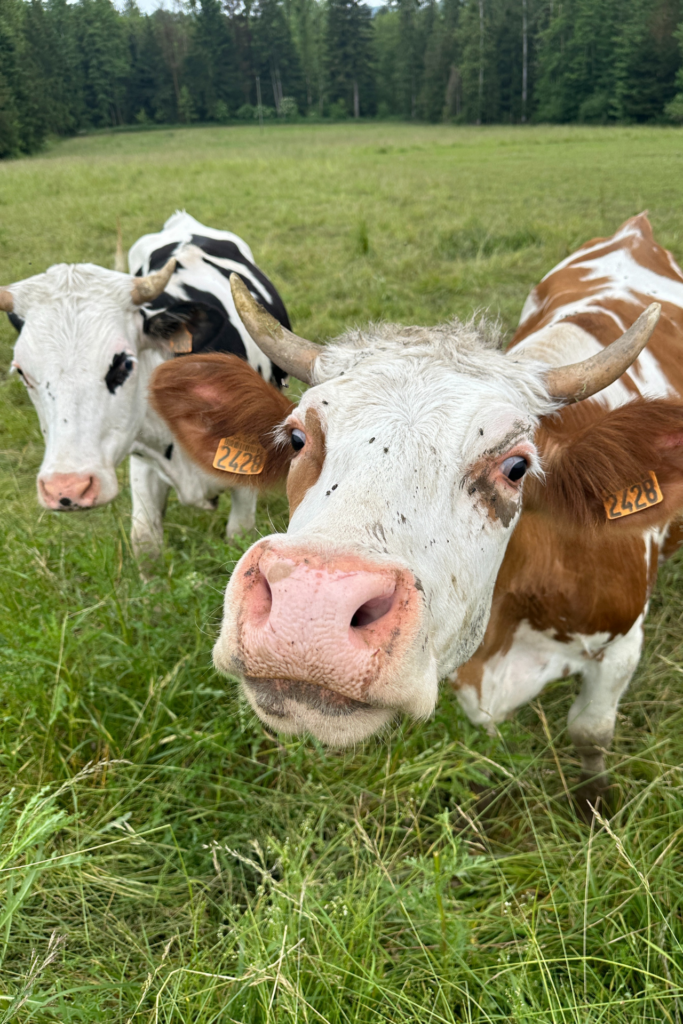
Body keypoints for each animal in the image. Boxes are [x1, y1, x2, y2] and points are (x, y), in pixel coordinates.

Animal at [149, 214, 683, 790]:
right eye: (296, 438)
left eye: (516, 466)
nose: (312, 603)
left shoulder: (622, 647)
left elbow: (590, 736)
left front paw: (594, 798)